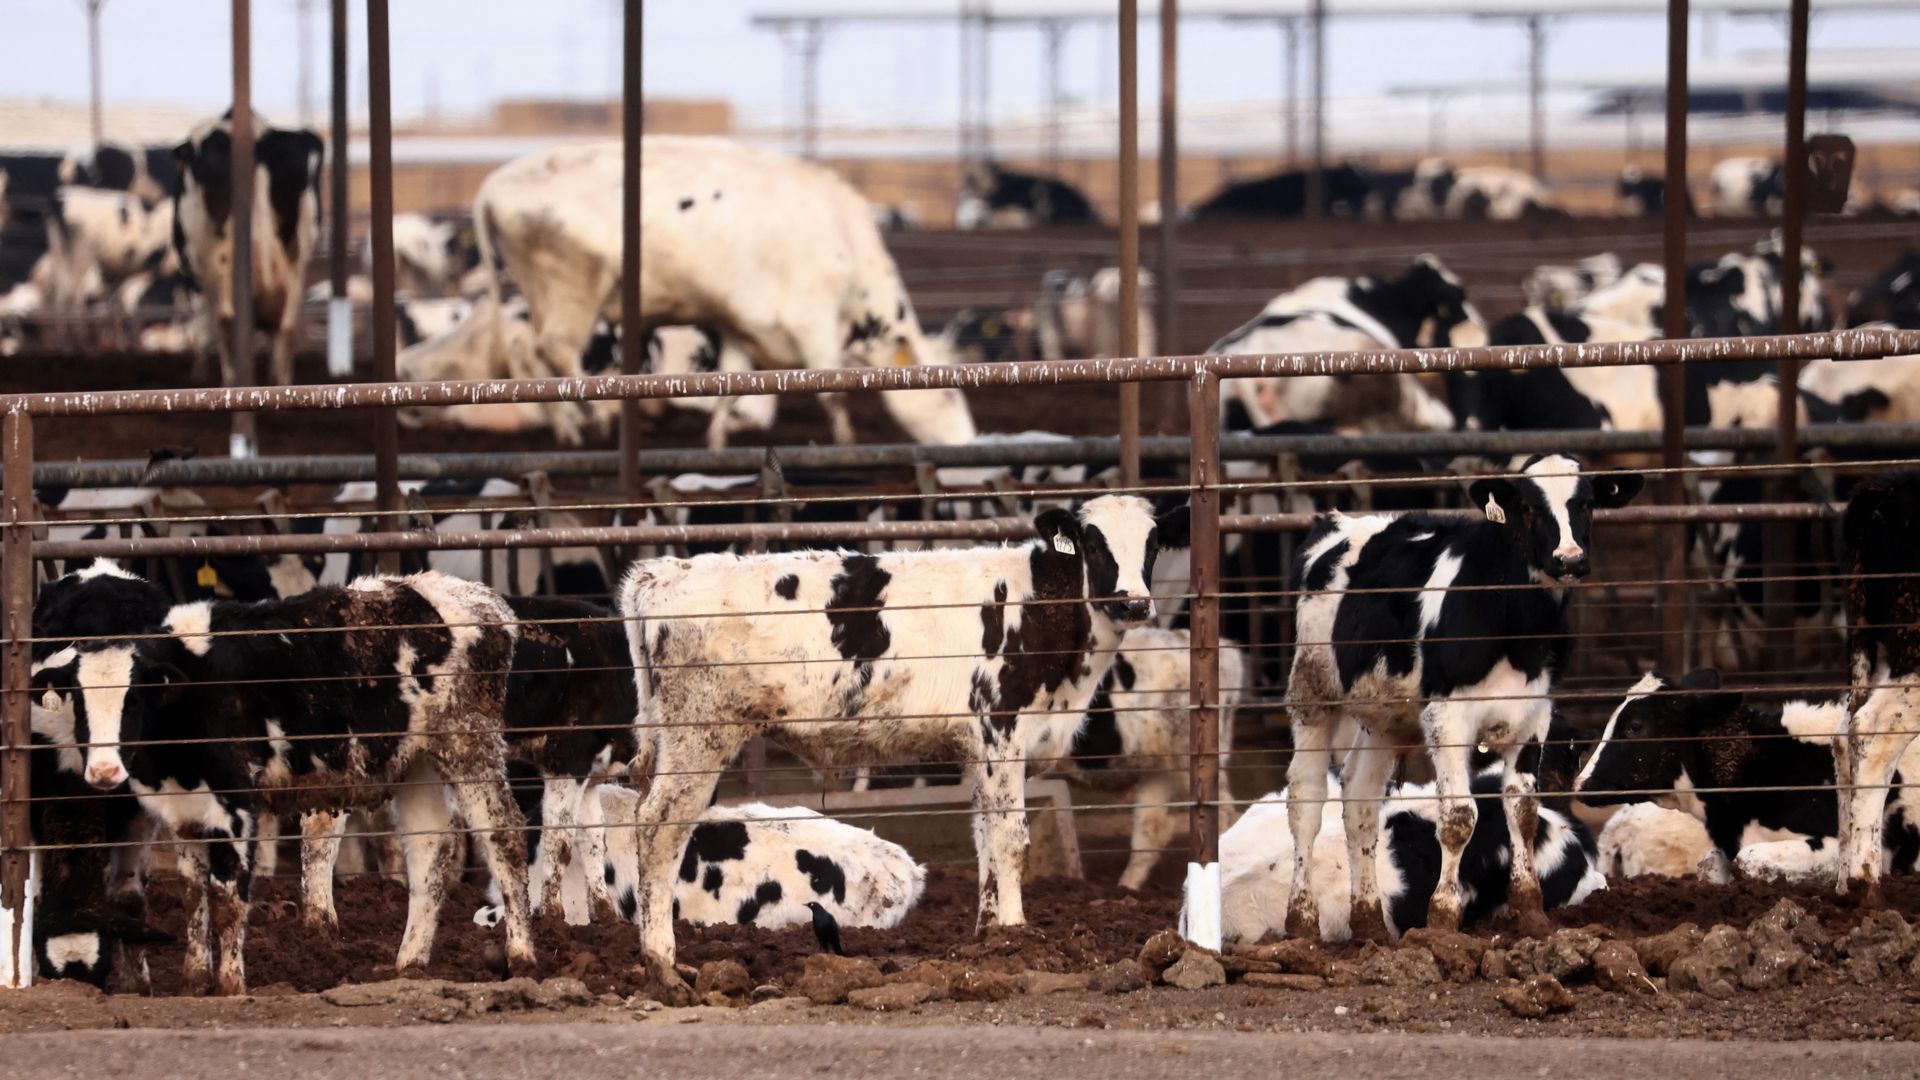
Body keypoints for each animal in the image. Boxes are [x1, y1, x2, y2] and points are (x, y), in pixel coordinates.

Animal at [26, 564, 534, 996]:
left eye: (133, 700)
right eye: (77, 699)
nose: (104, 771)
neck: (192, 694)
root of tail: (479, 598)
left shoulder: (235, 806)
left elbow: (227, 896)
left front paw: (230, 984)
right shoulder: (182, 809)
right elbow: (193, 893)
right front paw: (195, 980)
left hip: (468, 743)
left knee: (503, 837)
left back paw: (522, 956)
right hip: (417, 759)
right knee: (432, 848)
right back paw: (409, 963)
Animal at [473, 137, 974, 447]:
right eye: (949, 396)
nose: (969, 442)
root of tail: (494, 184)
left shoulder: (739, 326)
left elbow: (731, 387)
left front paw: (714, 440)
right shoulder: (814, 321)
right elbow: (831, 391)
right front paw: (846, 443)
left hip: (543, 293)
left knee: (532, 355)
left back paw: (568, 428)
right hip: (572, 285)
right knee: (555, 352)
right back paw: (592, 421)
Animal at [618, 494, 1185, 995]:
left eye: (1154, 543)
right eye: (1093, 544)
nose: (1134, 603)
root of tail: (663, 573)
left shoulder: (980, 746)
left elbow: (984, 835)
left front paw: (987, 937)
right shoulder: (1002, 726)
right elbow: (1010, 837)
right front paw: (1016, 934)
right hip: (699, 736)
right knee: (658, 827)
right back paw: (663, 964)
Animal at [1282, 455, 1643, 941]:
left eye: (1585, 503)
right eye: (1528, 507)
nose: (1569, 559)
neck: (1516, 625)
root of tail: (1334, 522)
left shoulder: (1534, 714)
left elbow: (1523, 810)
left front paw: (1531, 912)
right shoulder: (1447, 716)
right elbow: (1457, 817)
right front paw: (1442, 918)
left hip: (1384, 716)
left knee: (1359, 800)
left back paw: (1369, 920)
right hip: (1312, 692)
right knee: (1306, 799)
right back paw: (1301, 920)